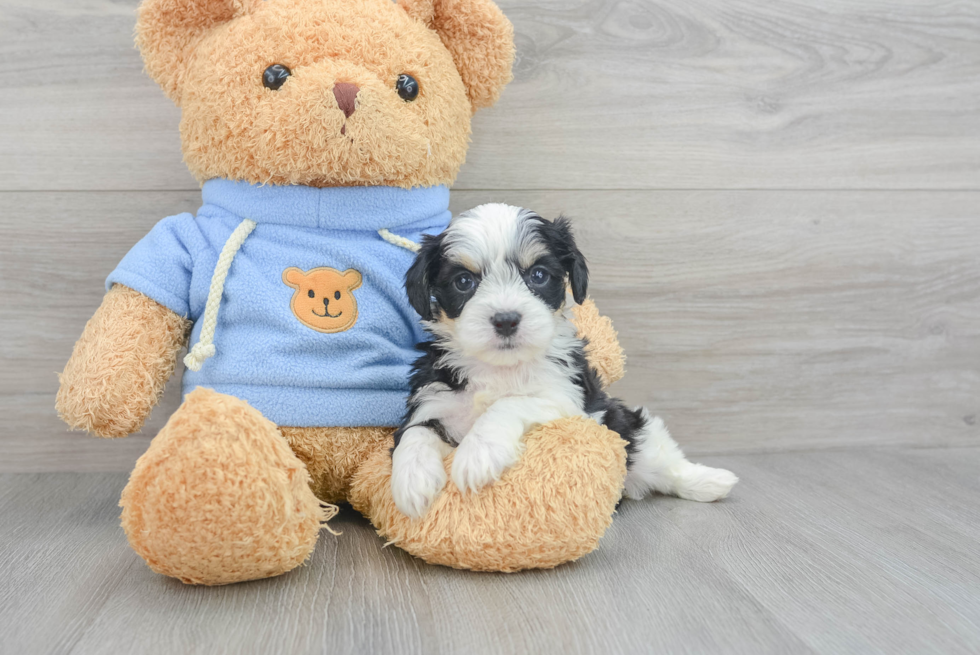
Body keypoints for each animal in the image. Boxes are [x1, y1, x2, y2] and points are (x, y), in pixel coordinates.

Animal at [390, 202, 736, 520]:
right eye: (463, 281)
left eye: (538, 275)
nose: (505, 320)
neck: (502, 368)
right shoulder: (433, 401)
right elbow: (415, 433)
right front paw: (411, 480)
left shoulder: (570, 403)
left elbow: (511, 402)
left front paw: (478, 453)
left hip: (628, 425)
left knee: (662, 458)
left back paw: (711, 481)